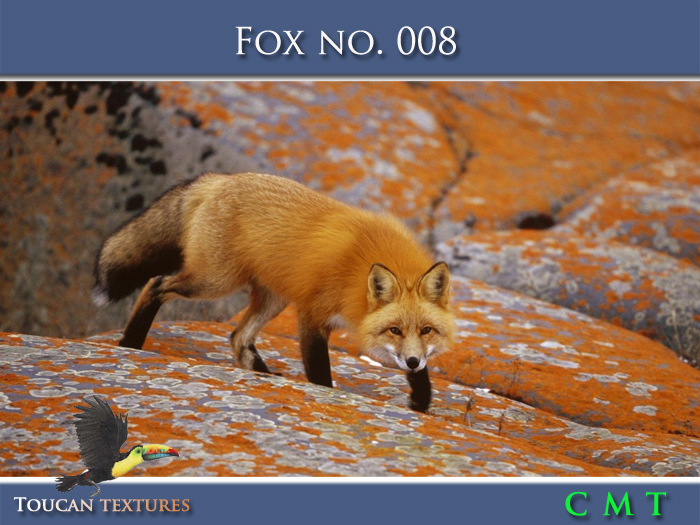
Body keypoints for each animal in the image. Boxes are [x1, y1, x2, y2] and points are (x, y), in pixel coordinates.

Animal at [93, 173, 455, 412]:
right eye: (394, 330)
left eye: (426, 330)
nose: (411, 361)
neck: (359, 269)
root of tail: (221, 179)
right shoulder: (312, 314)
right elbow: (320, 372)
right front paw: (325, 395)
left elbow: (422, 373)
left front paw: (421, 399)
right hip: (213, 281)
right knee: (156, 284)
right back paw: (130, 342)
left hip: (272, 298)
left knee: (238, 337)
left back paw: (266, 377)